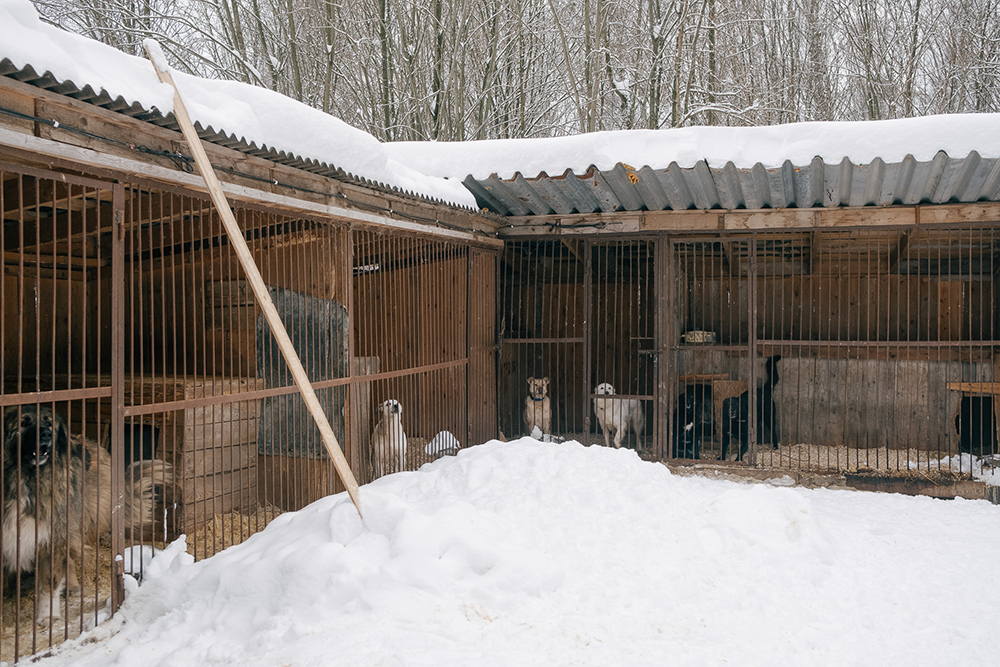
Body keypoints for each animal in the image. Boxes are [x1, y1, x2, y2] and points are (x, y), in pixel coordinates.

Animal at [1, 404, 174, 628]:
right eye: (23, 423)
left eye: (49, 423)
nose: (47, 434)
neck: (25, 481)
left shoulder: (53, 536)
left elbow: (50, 583)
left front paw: (48, 617)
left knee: (70, 558)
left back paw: (72, 586)